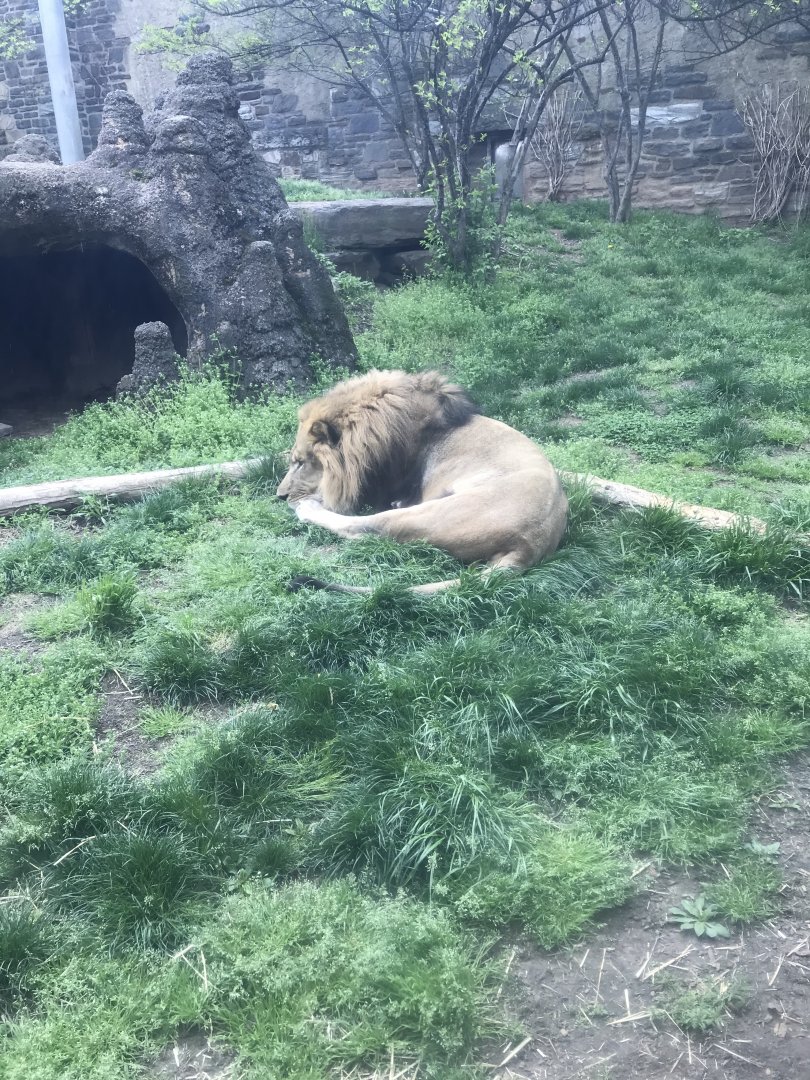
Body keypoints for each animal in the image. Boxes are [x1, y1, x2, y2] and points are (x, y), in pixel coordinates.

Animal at [276, 369, 568, 594]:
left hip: (431, 513)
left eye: (300, 462)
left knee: (362, 529)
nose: (279, 496)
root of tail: (532, 546)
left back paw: (307, 507)